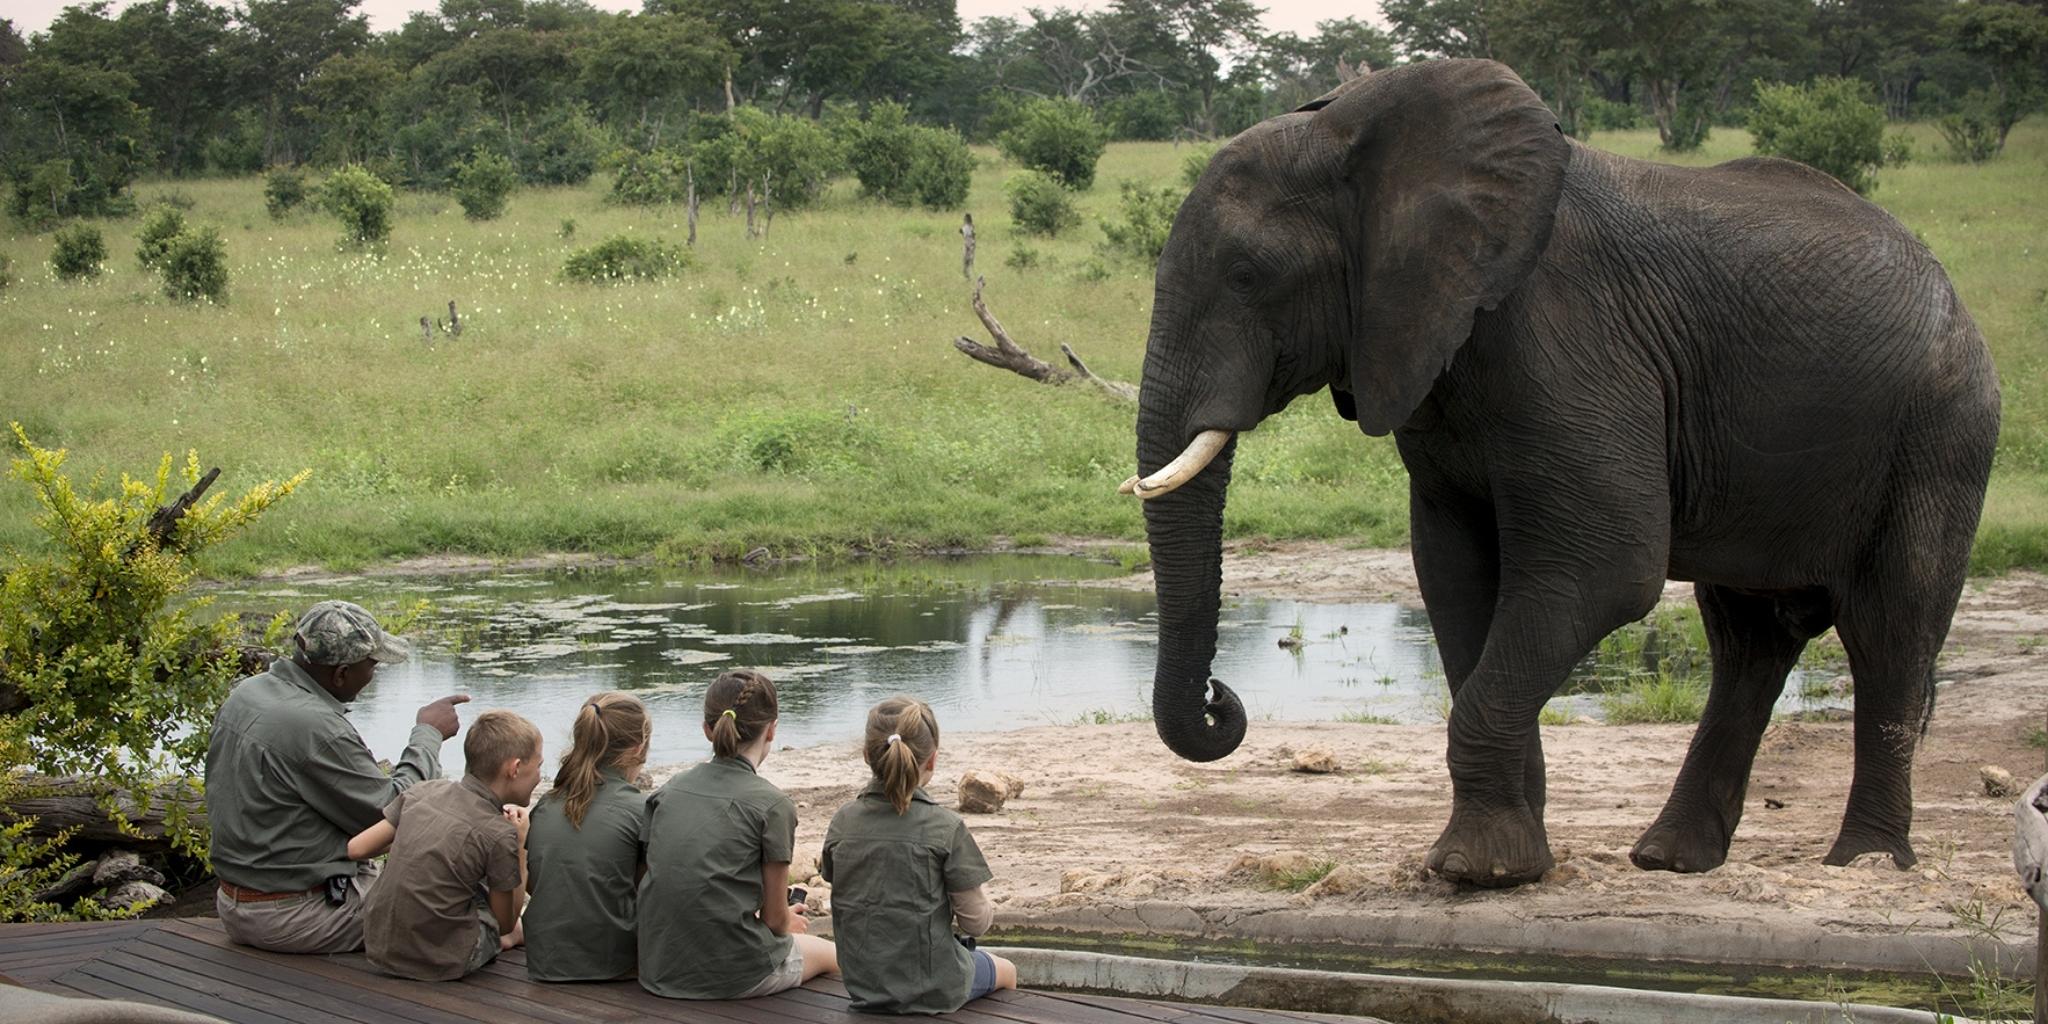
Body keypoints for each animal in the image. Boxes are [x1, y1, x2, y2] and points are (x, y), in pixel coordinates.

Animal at [1125, 59, 1999, 888]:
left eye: (1247, 275)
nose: (1221, 698)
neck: (1352, 132)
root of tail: (1952, 291)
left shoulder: (1570, 337)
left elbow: (1606, 569)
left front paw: (1474, 872)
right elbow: (1456, 578)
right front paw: (1513, 865)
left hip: (1943, 428)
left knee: (1891, 627)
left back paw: (1866, 862)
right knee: (1749, 639)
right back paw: (1670, 859)